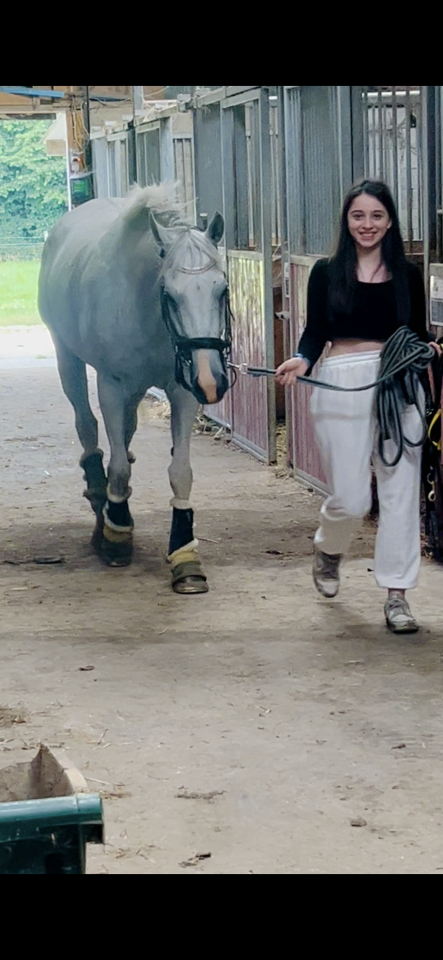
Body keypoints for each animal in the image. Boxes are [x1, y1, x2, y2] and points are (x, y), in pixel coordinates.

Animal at [38, 184, 231, 594]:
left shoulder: (182, 393)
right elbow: (119, 468)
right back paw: (102, 510)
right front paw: (117, 537)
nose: (211, 381)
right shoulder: (112, 387)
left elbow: (180, 470)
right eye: (170, 293)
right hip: (68, 359)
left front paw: (185, 556)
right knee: (89, 429)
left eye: (221, 290)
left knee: (124, 435)